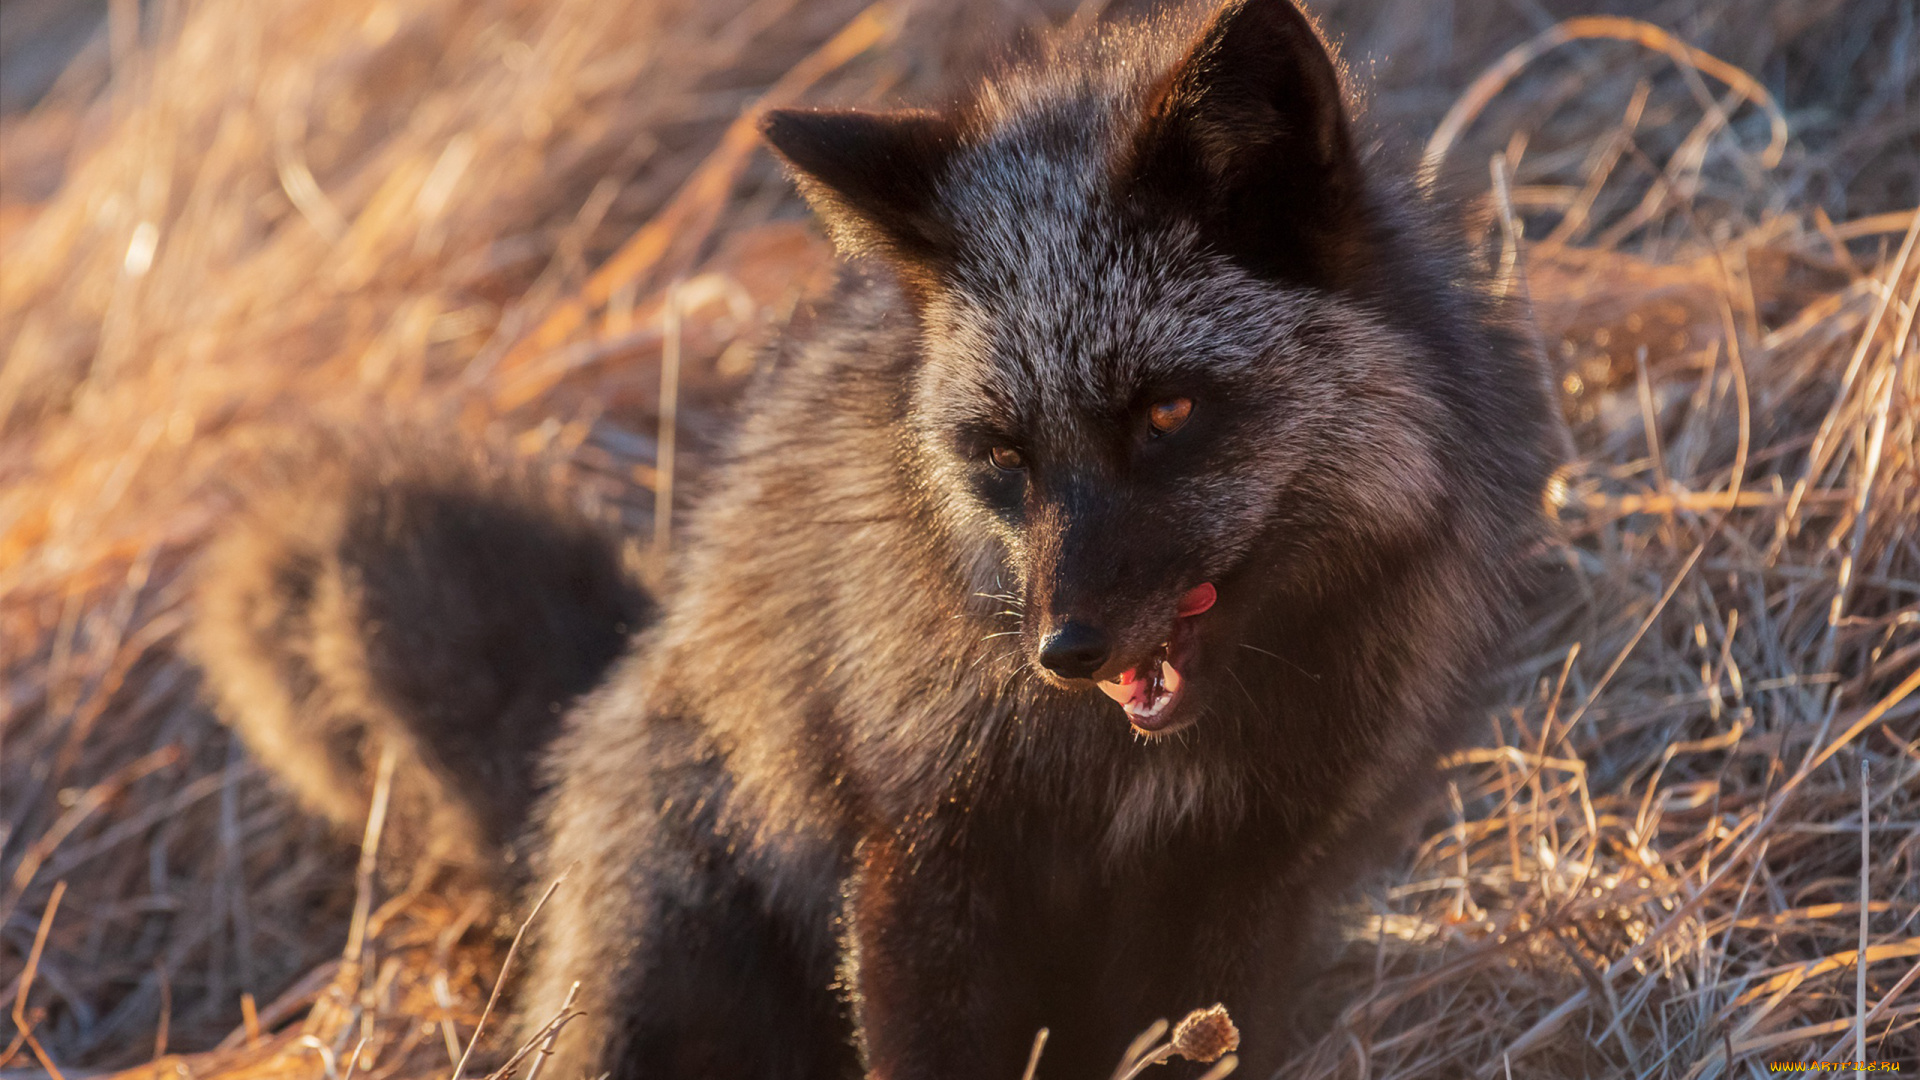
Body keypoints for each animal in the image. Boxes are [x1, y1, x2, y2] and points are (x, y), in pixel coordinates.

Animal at [190, 0, 1564, 1076]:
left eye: (1168, 413)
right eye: (1002, 455)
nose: (1064, 651)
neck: (1126, 777)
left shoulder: (1249, 888)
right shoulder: (918, 858)